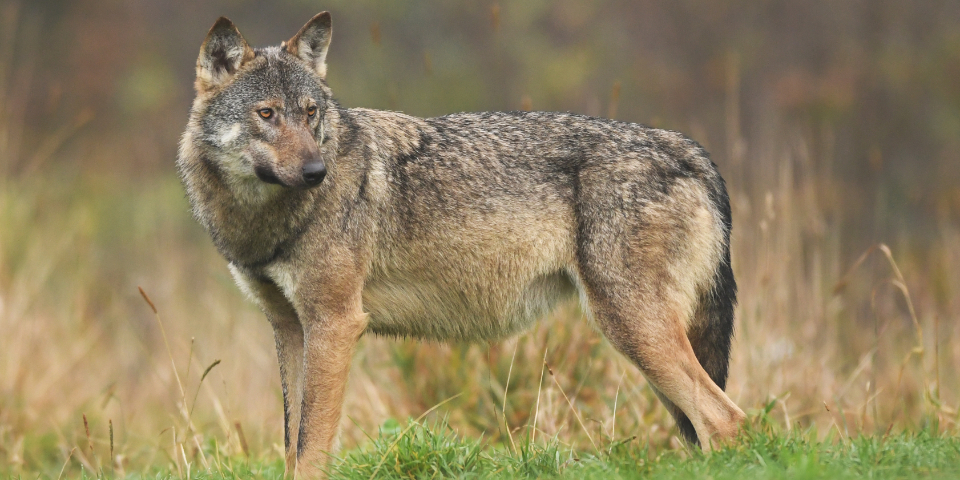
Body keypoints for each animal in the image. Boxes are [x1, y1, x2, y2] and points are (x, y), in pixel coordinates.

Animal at [178, 10, 752, 476]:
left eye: (310, 113)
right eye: (267, 114)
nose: (319, 172)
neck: (264, 222)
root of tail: (685, 147)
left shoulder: (335, 324)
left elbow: (310, 449)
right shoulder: (290, 328)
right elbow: (291, 444)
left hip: (630, 327)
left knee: (727, 420)